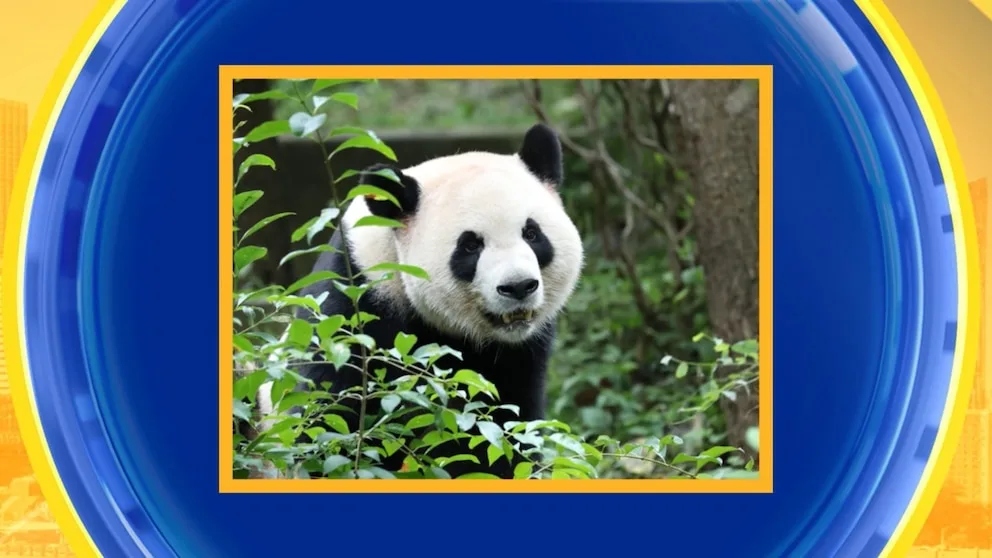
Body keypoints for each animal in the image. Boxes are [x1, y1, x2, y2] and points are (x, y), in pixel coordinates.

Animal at [258, 123, 584, 479]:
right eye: (470, 246)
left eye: (532, 234)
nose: (518, 286)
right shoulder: (355, 304)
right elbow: (327, 417)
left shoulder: (519, 354)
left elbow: (506, 427)